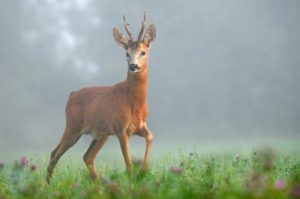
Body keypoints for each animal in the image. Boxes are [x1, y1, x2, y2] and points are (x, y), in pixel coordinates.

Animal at [46, 12, 157, 183]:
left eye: (143, 52)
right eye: (127, 53)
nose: (133, 66)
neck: (134, 102)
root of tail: (72, 94)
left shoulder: (140, 126)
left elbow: (150, 137)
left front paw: (143, 173)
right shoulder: (120, 128)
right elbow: (128, 164)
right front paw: (133, 180)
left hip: (101, 134)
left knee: (87, 157)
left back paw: (100, 185)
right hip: (73, 126)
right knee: (55, 154)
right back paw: (47, 185)